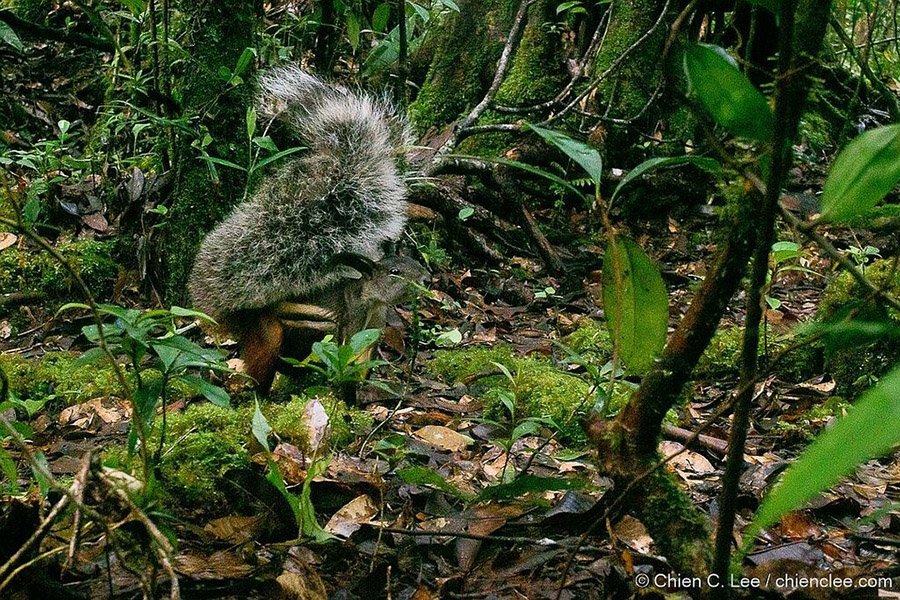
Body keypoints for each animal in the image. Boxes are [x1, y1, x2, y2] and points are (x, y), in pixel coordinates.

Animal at [189, 66, 426, 393]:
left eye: (409, 260)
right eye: (394, 272)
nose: (426, 278)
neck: (371, 301)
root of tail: (237, 317)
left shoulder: (372, 331)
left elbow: (362, 365)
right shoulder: (350, 325)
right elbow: (346, 360)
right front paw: (347, 397)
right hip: (269, 336)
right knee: (261, 366)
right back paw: (260, 393)